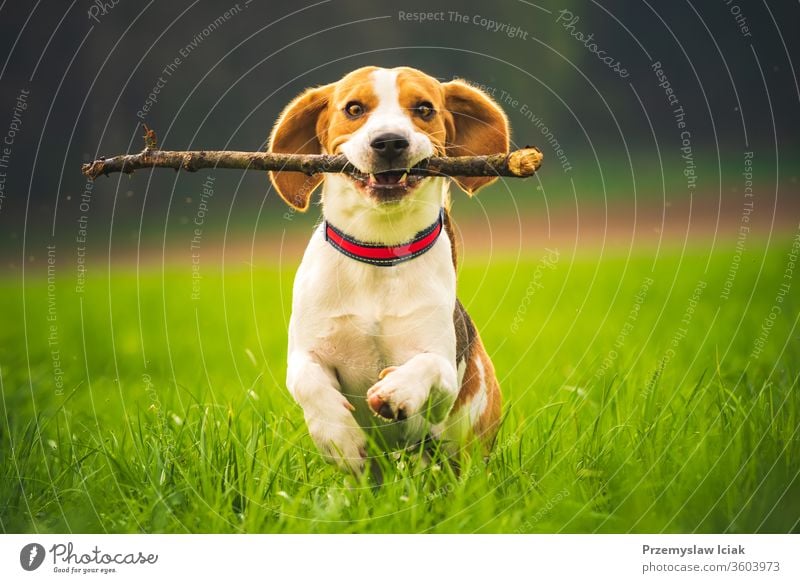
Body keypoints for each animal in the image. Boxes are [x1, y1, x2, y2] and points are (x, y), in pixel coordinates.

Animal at [268, 66, 506, 474]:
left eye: (424, 108)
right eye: (354, 108)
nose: (390, 142)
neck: (380, 251)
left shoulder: (442, 372)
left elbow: (428, 366)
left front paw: (396, 390)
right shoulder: (305, 353)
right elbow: (307, 381)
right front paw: (340, 437)